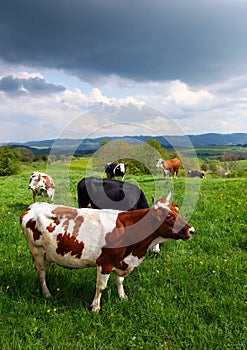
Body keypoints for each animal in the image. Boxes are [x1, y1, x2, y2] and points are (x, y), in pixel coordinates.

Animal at [19, 196, 195, 314]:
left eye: (177, 212)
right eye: (169, 217)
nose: (191, 230)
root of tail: (34, 206)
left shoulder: (121, 261)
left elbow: (120, 281)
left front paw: (123, 297)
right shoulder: (106, 262)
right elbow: (101, 287)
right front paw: (95, 308)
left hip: (48, 252)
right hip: (37, 251)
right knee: (41, 273)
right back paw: (47, 293)